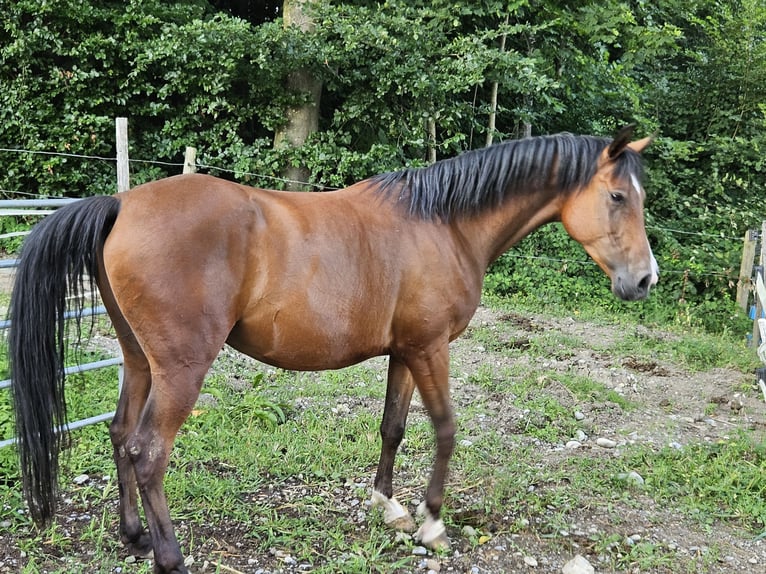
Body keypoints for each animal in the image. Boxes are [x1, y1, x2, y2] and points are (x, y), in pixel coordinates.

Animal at [9, 126, 660, 572]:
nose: (645, 280)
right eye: (618, 197)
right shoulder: (430, 348)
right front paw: (431, 523)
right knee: (148, 451)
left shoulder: (405, 351)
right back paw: (169, 555)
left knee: (120, 434)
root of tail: (122, 204)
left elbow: (394, 427)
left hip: (138, 359)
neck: (444, 224)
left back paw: (134, 536)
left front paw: (388, 506)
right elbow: (446, 428)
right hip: (180, 369)